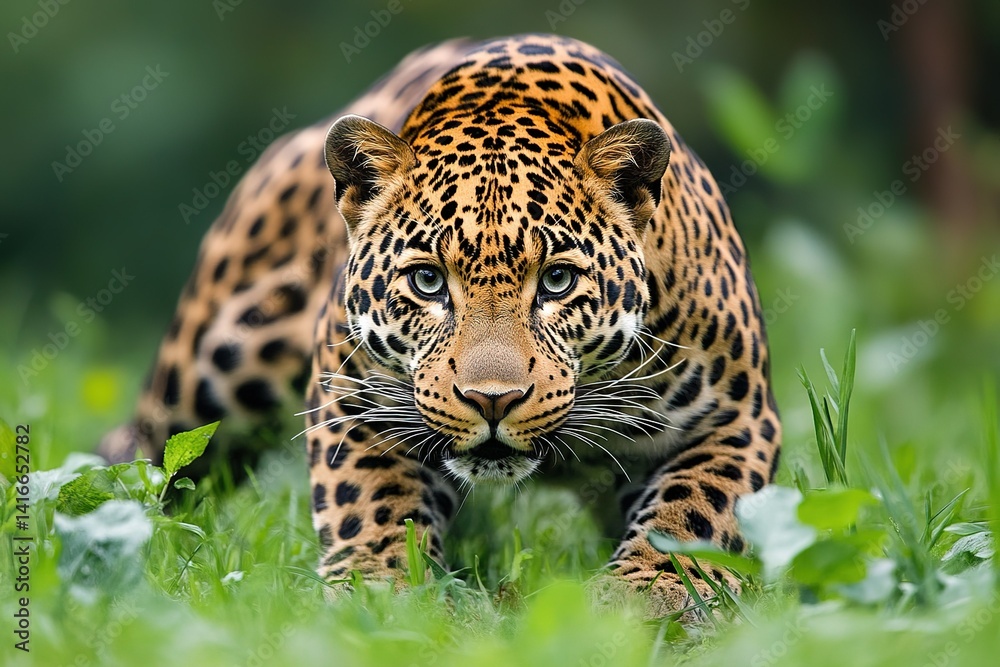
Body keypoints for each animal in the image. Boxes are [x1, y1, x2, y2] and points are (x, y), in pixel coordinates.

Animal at [100, 34, 781, 619]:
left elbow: (695, 509)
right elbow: (370, 501)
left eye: (558, 281)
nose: (493, 400)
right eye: (428, 282)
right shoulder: (354, 394)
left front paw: (653, 592)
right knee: (144, 451)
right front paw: (380, 590)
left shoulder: (735, 415)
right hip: (220, 363)